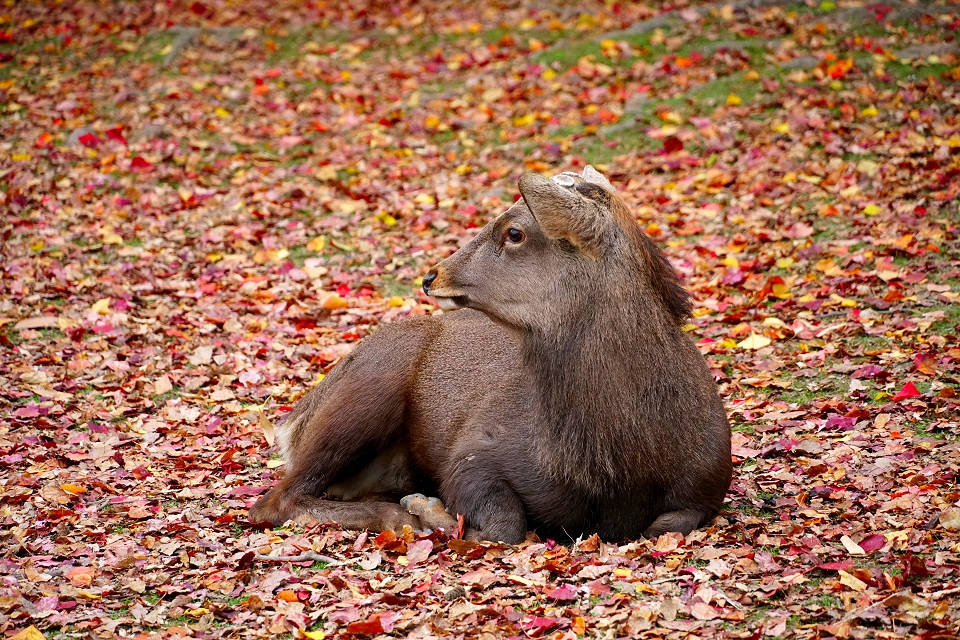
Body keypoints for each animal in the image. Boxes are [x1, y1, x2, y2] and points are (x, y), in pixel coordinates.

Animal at [251, 168, 732, 544]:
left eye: (514, 233)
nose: (431, 275)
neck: (617, 462)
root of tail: (291, 423)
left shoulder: (708, 483)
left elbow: (666, 525)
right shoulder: (475, 451)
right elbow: (504, 527)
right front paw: (430, 510)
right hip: (369, 385)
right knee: (274, 501)